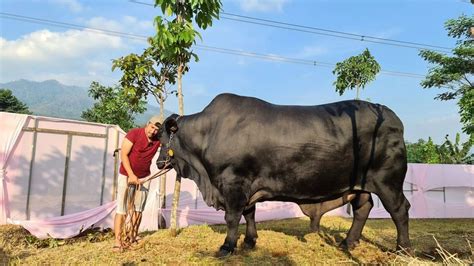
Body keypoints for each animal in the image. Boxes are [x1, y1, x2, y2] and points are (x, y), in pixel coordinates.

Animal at [157, 93, 410, 256]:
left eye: (160, 138)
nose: (159, 162)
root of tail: (387, 113)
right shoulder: (248, 186)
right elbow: (249, 213)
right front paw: (249, 241)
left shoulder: (234, 182)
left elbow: (232, 217)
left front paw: (227, 247)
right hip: (359, 184)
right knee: (363, 208)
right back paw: (348, 243)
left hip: (388, 181)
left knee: (399, 210)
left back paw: (403, 249)